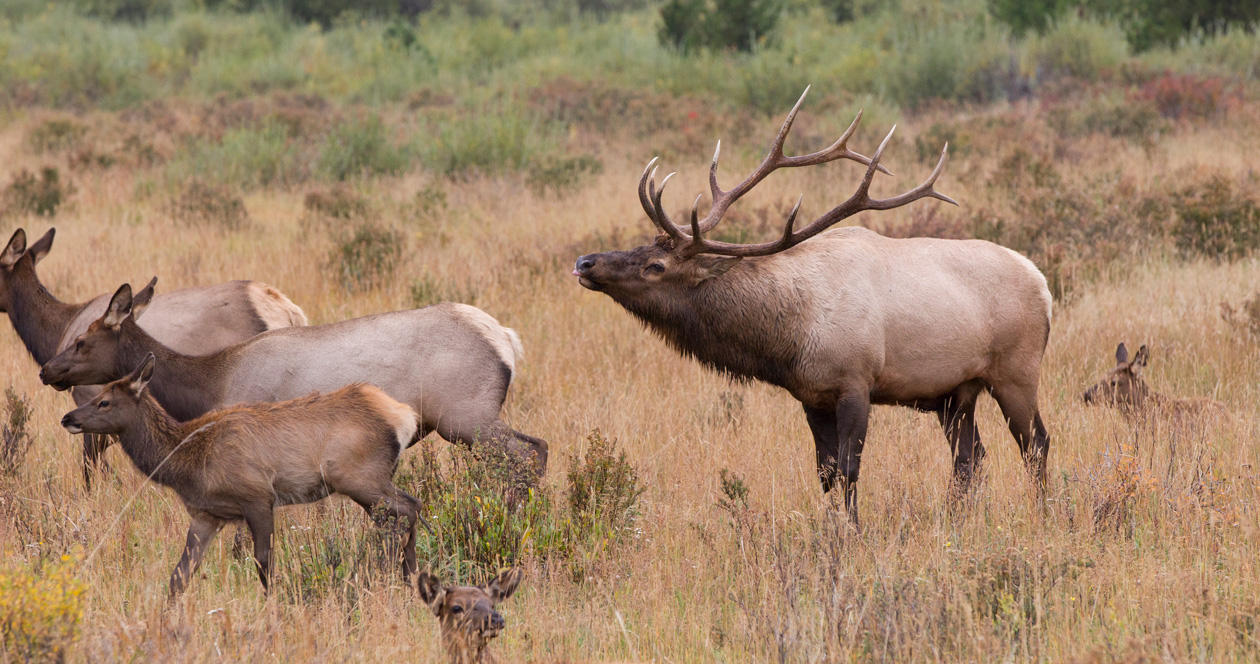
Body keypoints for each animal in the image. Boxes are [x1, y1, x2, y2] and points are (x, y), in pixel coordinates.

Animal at [0, 225, 304, 486]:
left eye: (80, 343)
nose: (46, 372)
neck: (56, 332)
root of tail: (290, 311)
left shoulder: (91, 403)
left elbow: (91, 471)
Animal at [35, 278, 541, 476]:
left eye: (81, 341)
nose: (46, 370)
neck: (208, 384)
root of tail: (507, 340)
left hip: (466, 415)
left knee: (530, 453)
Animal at [60, 352, 428, 597]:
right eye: (96, 395)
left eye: (104, 401)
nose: (68, 418)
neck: (189, 464)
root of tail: (403, 417)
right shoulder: (206, 515)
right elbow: (180, 575)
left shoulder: (257, 496)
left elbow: (264, 562)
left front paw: (273, 606)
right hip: (367, 483)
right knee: (400, 514)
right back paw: (409, 581)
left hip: (358, 476)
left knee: (408, 509)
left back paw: (400, 579)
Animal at [574, 89, 1053, 524]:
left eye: (656, 266)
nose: (585, 262)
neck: (791, 336)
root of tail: (1043, 284)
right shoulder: (811, 396)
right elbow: (826, 474)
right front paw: (832, 529)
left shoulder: (856, 382)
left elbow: (850, 470)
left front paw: (853, 532)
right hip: (957, 391)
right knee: (971, 457)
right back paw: (957, 519)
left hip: (1016, 371)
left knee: (1036, 444)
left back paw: (1046, 515)